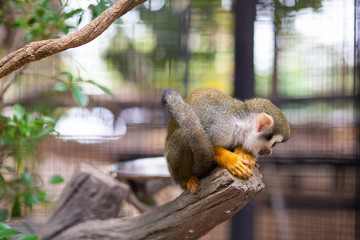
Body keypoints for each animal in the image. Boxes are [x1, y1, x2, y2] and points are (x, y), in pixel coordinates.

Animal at [162, 88, 292, 195]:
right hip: (172, 166)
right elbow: (208, 142)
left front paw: (245, 153)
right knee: (183, 135)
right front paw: (231, 160)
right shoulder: (222, 126)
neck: (240, 124)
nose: (269, 152)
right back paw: (187, 180)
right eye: (274, 144)